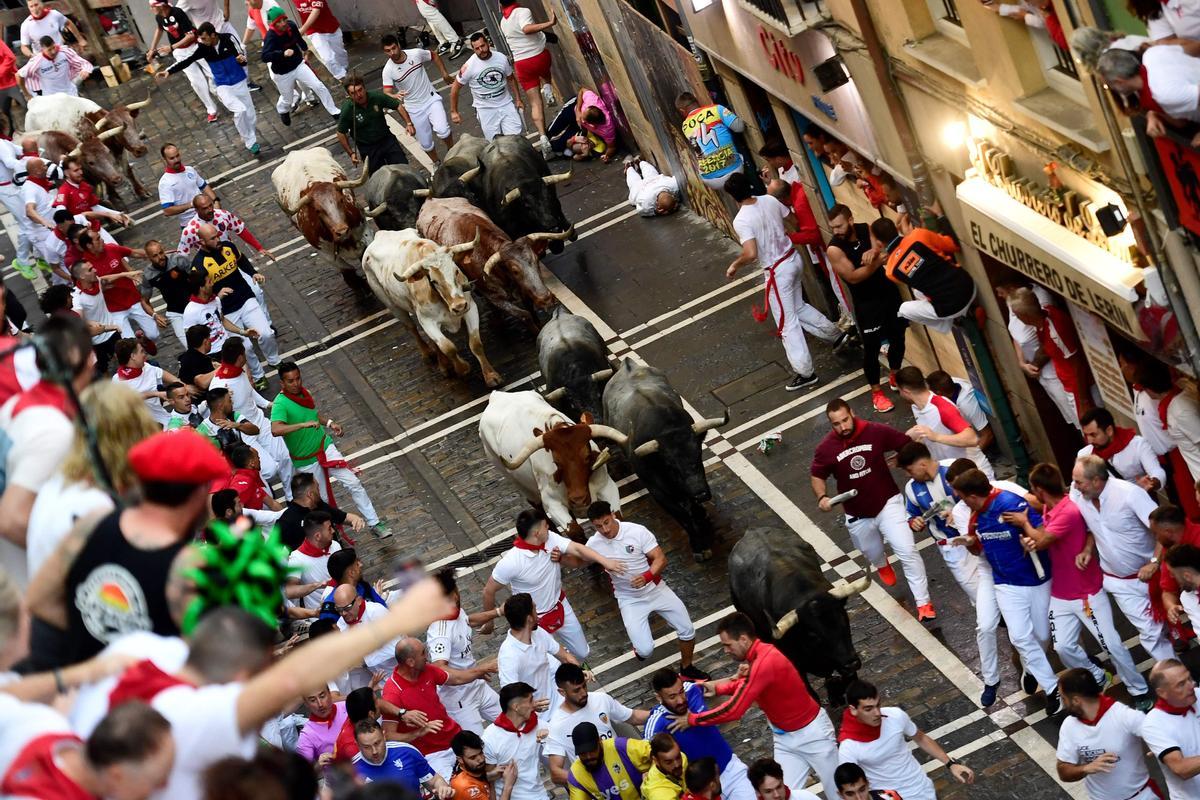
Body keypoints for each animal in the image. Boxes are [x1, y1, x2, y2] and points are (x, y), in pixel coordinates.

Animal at [360, 227, 501, 388]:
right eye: (434, 281)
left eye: (456, 271)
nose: (459, 306)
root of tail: (379, 234)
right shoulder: (427, 321)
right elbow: (448, 347)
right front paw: (462, 368)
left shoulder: (470, 307)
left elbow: (475, 343)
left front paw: (491, 376)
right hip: (393, 307)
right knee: (412, 328)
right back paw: (429, 354)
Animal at [415, 196, 564, 331]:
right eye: (515, 270)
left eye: (536, 261)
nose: (546, 298)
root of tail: (430, 199)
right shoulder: (494, 297)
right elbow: (525, 314)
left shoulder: (522, 288)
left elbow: (530, 309)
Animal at [477, 391, 628, 534]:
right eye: (556, 462)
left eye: (587, 457)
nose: (578, 500)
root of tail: (496, 395)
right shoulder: (552, 503)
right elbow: (575, 531)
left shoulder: (607, 487)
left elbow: (617, 519)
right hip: (518, 483)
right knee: (537, 507)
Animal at [604, 359, 724, 561]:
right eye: (670, 465)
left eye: (698, 454)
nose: (701, 494)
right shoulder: (657, 491)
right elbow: (683, 517)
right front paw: (699, 546)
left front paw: (701, 516)